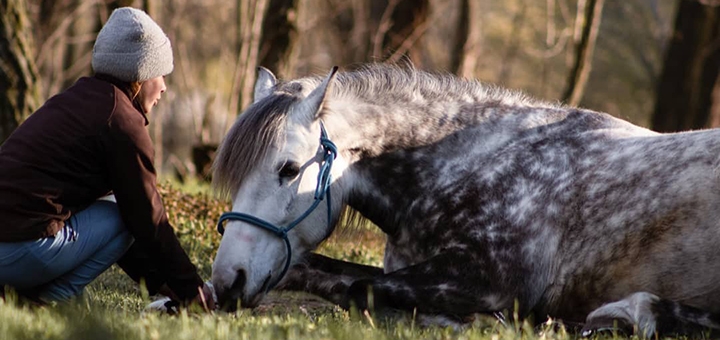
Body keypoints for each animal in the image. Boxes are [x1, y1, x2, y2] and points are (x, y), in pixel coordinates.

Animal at [211, 63, 720, 338]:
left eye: (289, 170)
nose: (226, 283)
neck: (471, 161)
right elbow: (317, 273)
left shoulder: (491, 280)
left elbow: (361, 290)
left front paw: (477, 322)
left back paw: (629, 313)